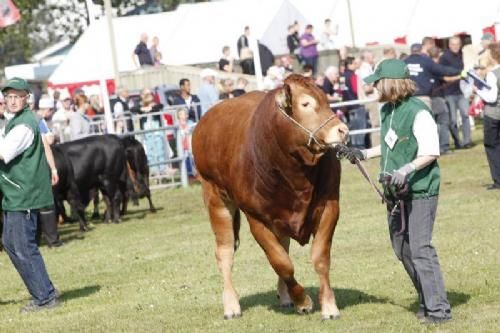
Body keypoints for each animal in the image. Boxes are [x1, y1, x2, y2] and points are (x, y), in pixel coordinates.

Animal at [191, 74, 348, 318]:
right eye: (306, 104)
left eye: (327, 100)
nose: (342, 130)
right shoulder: (257, 219)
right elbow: (281, 263)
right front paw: (303, 300)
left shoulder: (329, 207)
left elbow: (319, 257)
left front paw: (329, 306)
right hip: (215, 198)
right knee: (225, 252)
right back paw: (231, 305)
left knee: (283, 245)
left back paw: (285, 297)